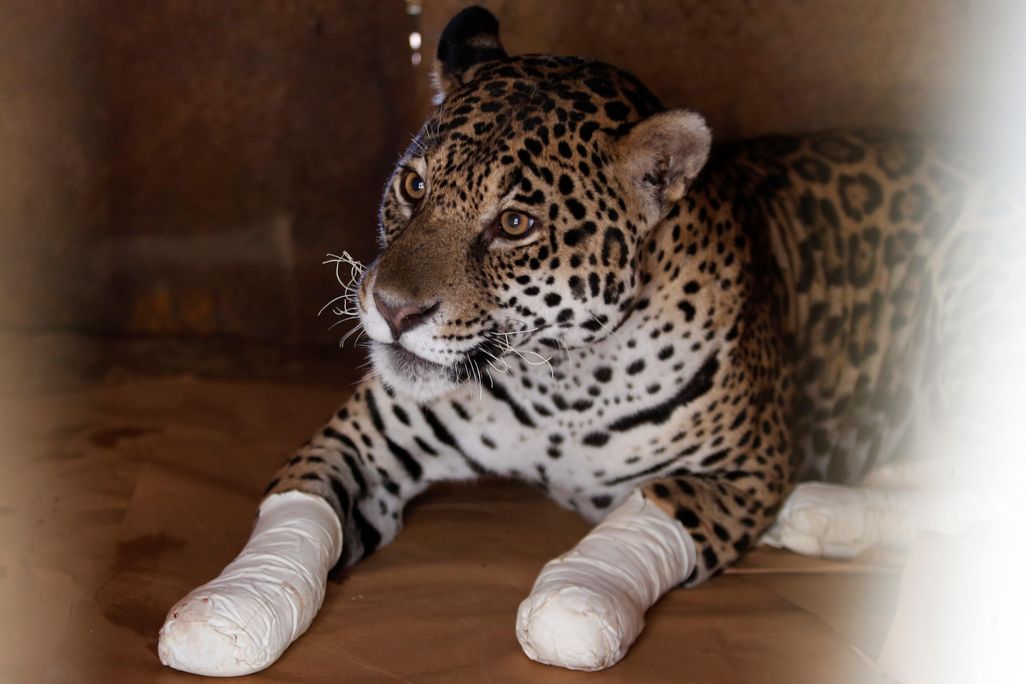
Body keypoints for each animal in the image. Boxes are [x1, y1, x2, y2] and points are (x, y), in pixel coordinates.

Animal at [161, 5, 1018, 675]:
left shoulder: (748, 469)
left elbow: (638, 520)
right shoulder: (365, 436)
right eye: (413, 185)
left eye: (514, 224)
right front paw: (229, 611)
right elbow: (300, 507)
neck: (560, 382)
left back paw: (822, 510)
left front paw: (577, 597)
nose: (394, 310)